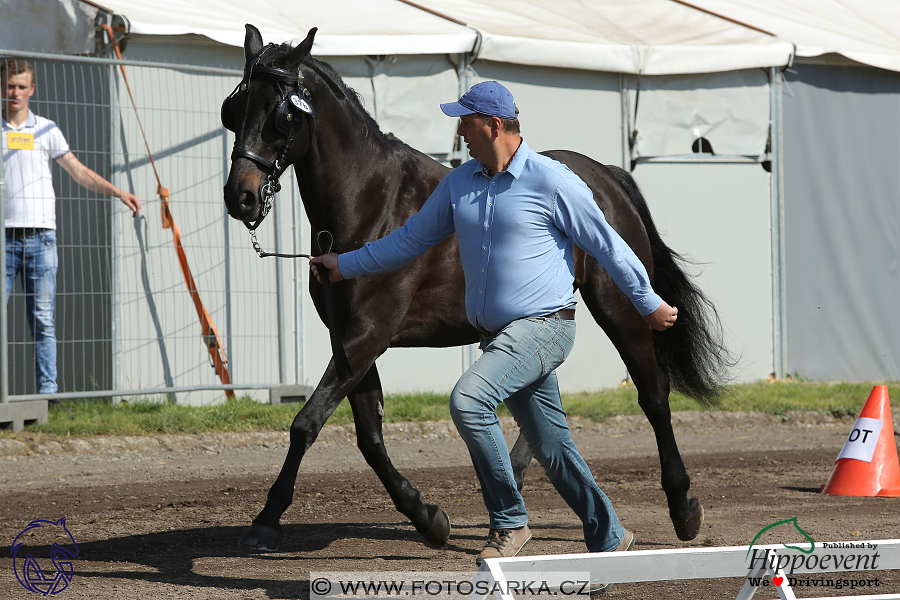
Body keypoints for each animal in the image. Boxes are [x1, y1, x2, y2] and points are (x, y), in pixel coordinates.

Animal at [223, 27, 732, 552]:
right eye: (234, 108)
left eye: (281, 114)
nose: (239, 197)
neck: (371, 201)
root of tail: (605, 175)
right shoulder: (350, 340)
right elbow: (369, 437)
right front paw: (428, 516)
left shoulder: (367, 335)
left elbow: (306, 424)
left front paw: (267, 517)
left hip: (620, 310)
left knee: (653, 393)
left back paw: (681, 505)